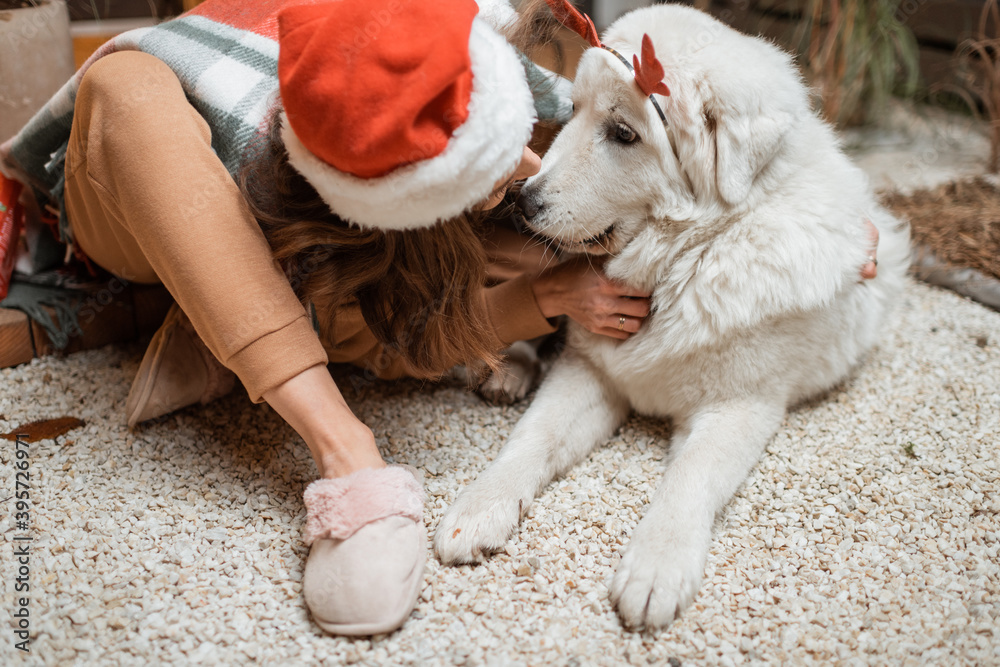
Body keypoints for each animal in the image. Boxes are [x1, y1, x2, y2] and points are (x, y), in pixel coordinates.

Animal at [434, 5, 912, 632]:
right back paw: (508, 367)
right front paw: (480, 506)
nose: (522, 199)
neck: (688, 257)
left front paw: (655, 569)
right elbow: (532, 438)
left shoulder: (738, 407)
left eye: (623, 134)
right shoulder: (591, 370)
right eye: (573, 111)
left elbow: (689, 477)